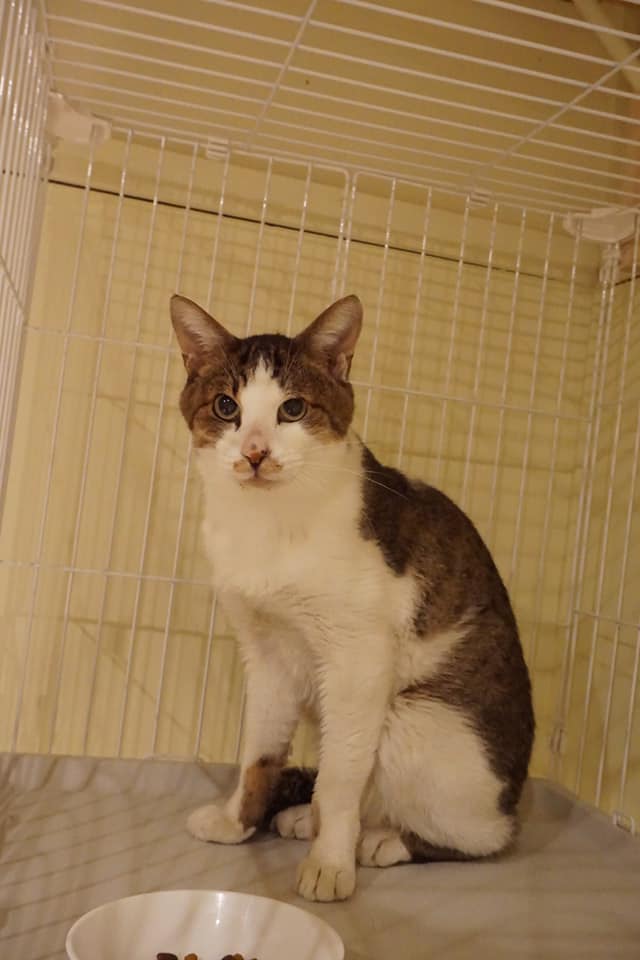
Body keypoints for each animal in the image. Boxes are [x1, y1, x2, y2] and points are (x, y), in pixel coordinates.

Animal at [170, 292, 534, 903]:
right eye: (225, 406)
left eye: (293, 409)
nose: (255, 453)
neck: (267, 524)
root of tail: (513, 798)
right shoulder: (266, 654)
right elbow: (259, 752)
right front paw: (237, 821)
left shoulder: (358, 657)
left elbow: (341, 775)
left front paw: (330, 863)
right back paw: (307, 818)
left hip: (412, 719)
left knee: (484, 837)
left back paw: (382, 840)